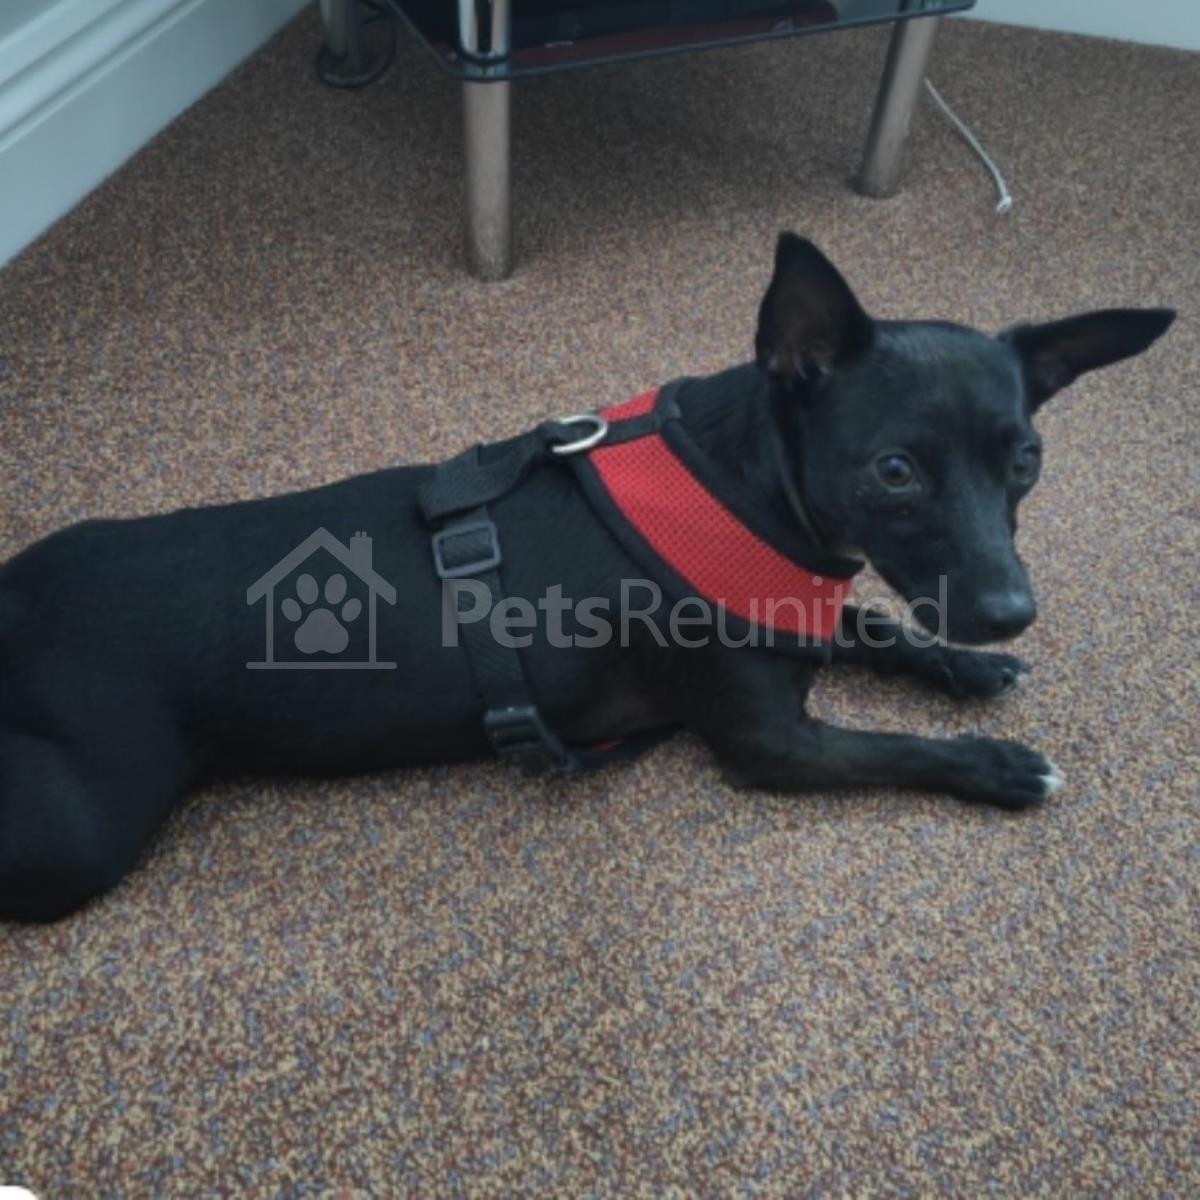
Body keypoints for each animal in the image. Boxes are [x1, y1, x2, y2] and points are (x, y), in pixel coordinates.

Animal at [0, 234, 1174, 921]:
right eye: (896, 472)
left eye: (1026, 458)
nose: (1010, 615)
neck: (749, 485)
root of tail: (13, 597)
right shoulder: (772, 743)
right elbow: (896, 748)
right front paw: (996, 765)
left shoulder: (790, 599)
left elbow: (876, 629)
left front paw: (962, 673)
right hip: (76, 833)